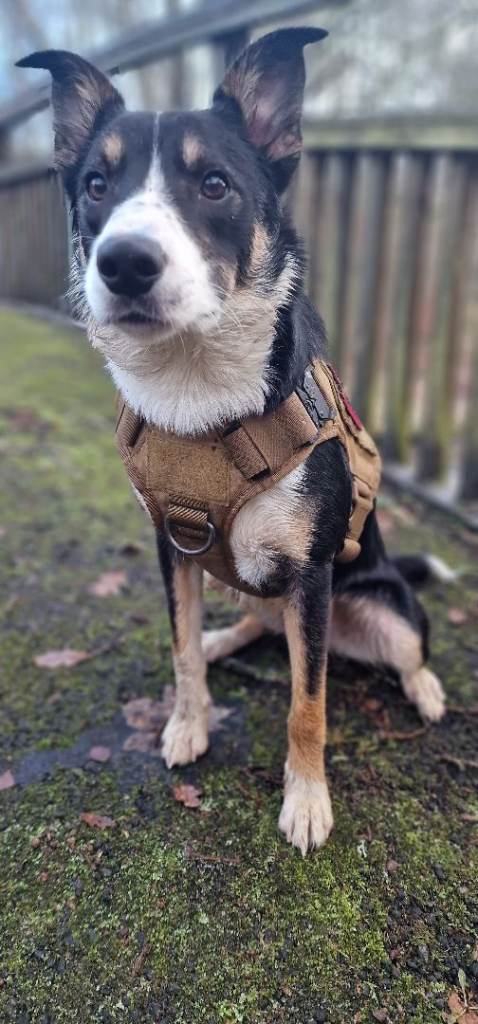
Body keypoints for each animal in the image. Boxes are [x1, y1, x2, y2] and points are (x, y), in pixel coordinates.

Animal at [19, 28, 447, 854]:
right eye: (96, 184)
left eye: (214, 184)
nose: (123, 262)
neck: (197, 391)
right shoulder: (173, 549)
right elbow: (181, 647)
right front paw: (188, 722)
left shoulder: (310, 578)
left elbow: (308, 703)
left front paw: (306, 801)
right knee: (250, 619)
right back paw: (227, 640)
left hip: (377, 599)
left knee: (407, 643)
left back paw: (428, 689)